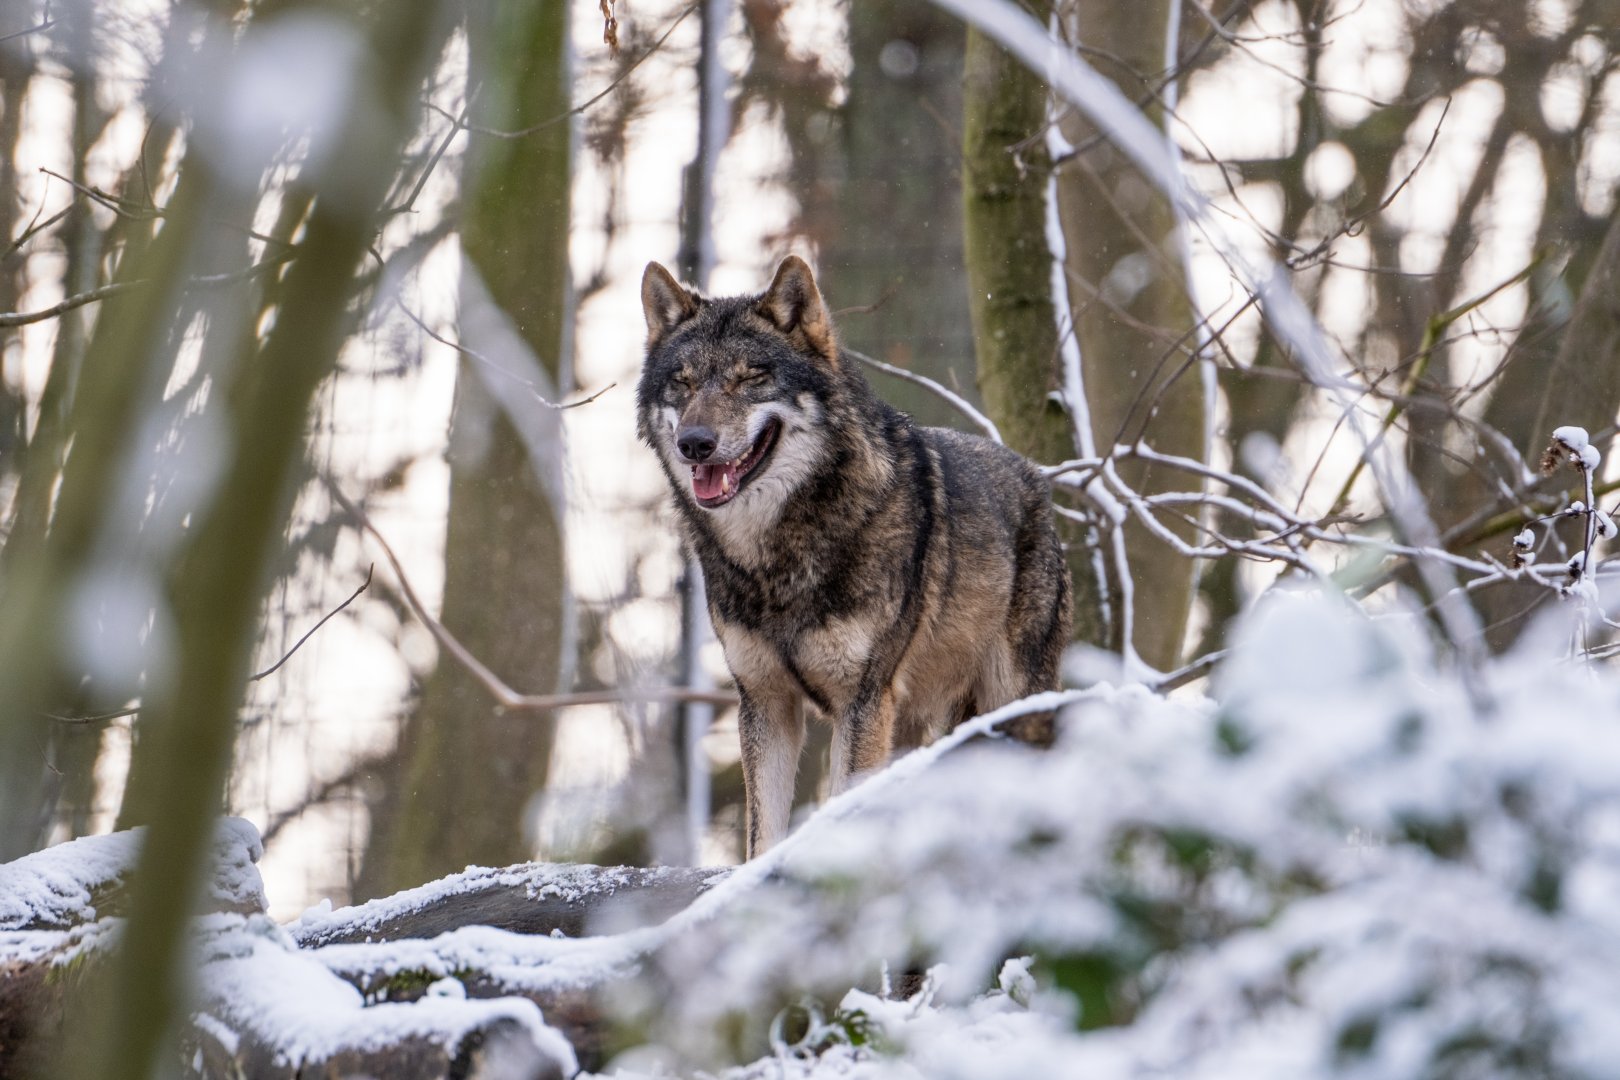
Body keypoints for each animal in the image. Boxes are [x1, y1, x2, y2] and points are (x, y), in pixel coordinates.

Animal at [637, 256, 1073, 857]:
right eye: (682, 382)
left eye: (750, 378)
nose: (694, 443)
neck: (776, 558)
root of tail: (1036, 478)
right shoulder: (765, 703)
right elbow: (762, 835)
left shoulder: (861, 702)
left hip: (1007, 703)